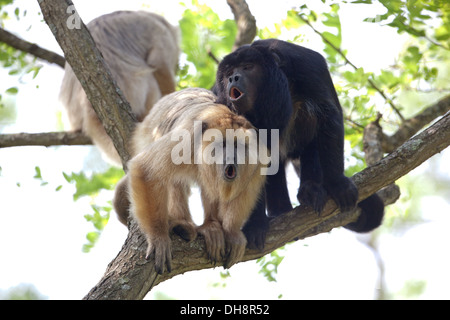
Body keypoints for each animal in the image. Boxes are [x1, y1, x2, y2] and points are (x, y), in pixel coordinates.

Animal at [113, 88, 268, 276]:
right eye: (223, 144)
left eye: (238, 146)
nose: (232, 157)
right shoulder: (188, 138)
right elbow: (146, 169)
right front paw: (158, 237)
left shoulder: (258, 154)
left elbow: (247, 189)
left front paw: (231, 232)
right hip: (145, 138)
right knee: (173, 180)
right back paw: (183, 226)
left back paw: (211, 226)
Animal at [214, 39, 384, 250]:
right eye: (229, 73)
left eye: (247, 67)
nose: (233, 78)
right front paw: (255, 225)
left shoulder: (308, 67)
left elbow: (330, 116)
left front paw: (337, 184)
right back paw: (279, 212)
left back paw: (310, 190)